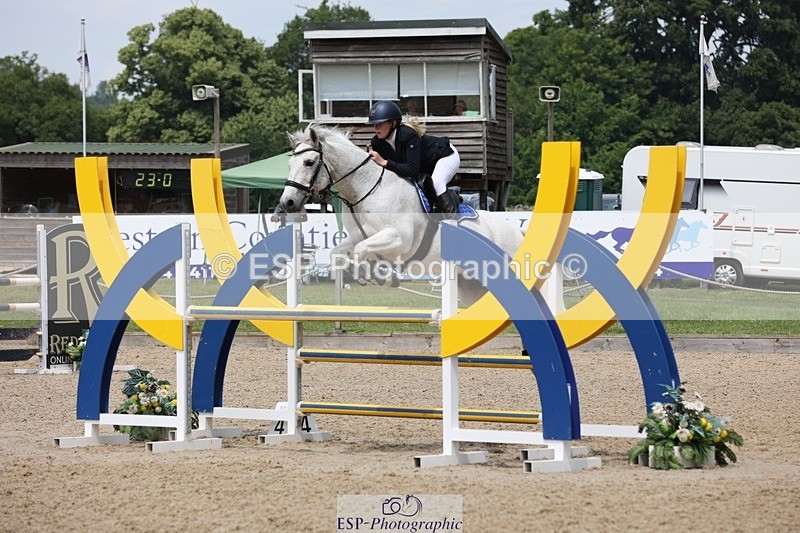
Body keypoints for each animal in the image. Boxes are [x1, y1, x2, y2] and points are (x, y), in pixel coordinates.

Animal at [280, 126, 524, 305]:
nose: (287, 202)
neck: (367, 188)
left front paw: (373, 275)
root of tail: (517, 232)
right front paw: (371, 274)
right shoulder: (359, 236)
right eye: (289, 163)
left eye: (309, 162)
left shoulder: (399, 238)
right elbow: (338, 252)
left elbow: (361, 251)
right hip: (470, 285)